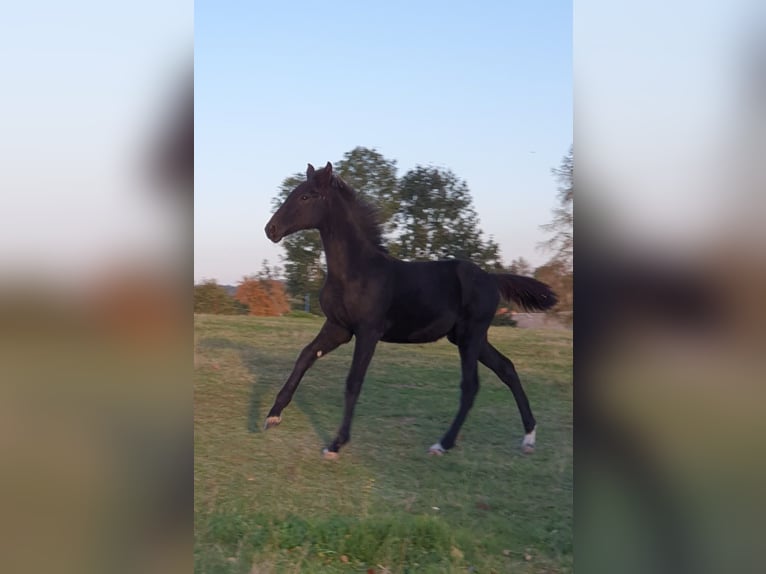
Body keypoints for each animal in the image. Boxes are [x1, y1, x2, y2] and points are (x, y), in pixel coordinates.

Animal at [264, 162, 557, 459]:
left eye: (305, 196)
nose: (271, 229)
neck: (356, 271)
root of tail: (492, 278)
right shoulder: (338, 328)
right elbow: (305, 357)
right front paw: (272, 416)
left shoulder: (368, 331)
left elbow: (353, 381)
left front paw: (336, 444)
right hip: (468, 337)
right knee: (506, 368)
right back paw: (529, 437)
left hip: (470, 336)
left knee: (471, 385)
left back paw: (443, 443)